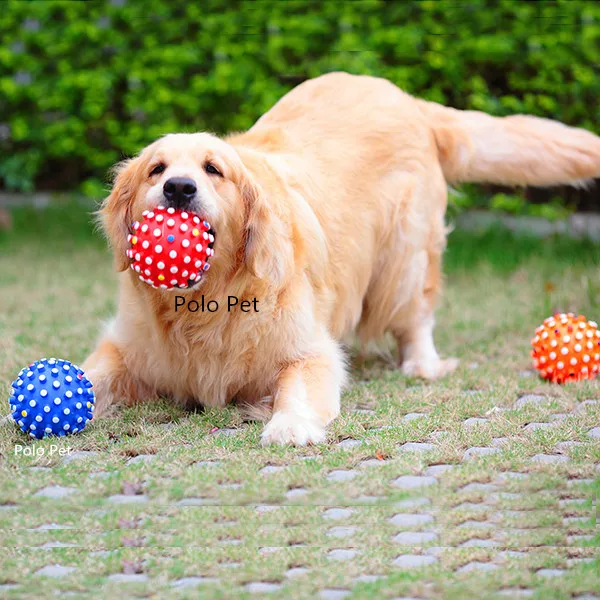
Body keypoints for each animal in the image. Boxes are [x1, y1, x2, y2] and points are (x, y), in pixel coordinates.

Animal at [83, 71, 600, 446]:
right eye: (156, 169)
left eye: (214, 169)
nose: (178, 188)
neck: (203, 304)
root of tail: (406, 98)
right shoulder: (125, 348)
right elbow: (88, 375)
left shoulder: (309, 349)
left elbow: (298, 384)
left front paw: (289, 424)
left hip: (404, 255)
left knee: (416, 314)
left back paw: (422, 363)